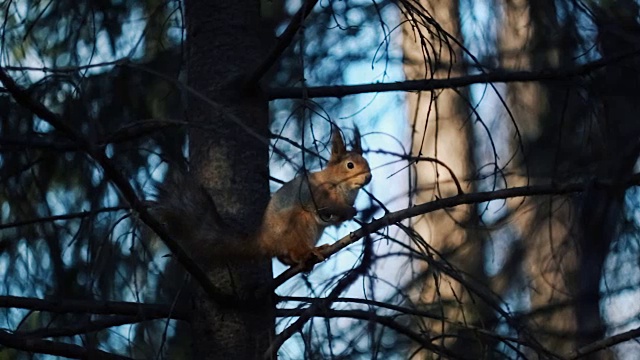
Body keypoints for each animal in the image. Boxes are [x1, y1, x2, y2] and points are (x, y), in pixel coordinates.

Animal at [157, 128, 372, 268]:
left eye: (367, 162)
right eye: (350, 165)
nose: (368, 177)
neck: (344, 187)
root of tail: (265, 239)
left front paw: (350, 213)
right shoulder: (318, 194)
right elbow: (325, 206)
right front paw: (348, 210)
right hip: (299, 224)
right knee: (294, 251)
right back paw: (309, 253)